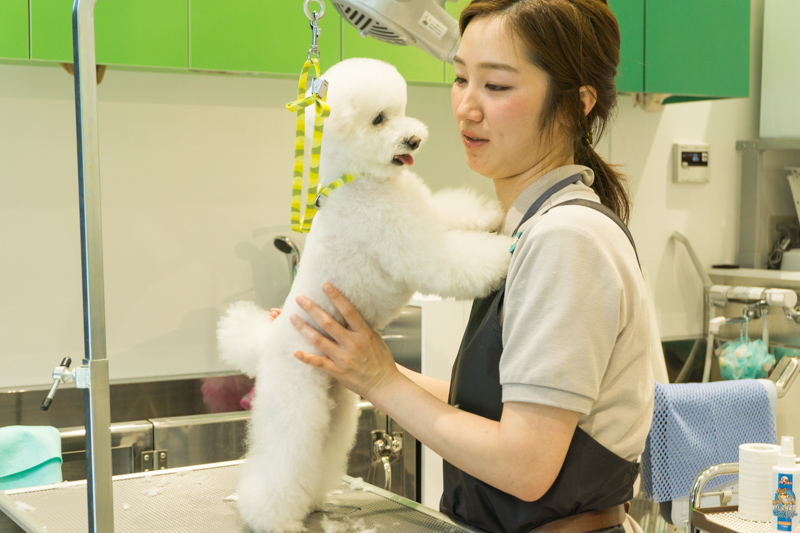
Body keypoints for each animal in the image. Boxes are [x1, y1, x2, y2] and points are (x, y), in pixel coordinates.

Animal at [217, 57, 512, 533]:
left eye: (401, 110)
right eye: (378, 120)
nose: (413, 138)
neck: (361, 178)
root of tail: (267, 345)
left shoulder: (423, 213)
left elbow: (449, 209)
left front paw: (486, 212)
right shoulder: (415, 245)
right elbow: (448, 258)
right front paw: (505, 252)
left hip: (337, 411)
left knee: (320, 460)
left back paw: (312, 502)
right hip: (295, 405)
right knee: (279, 465)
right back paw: (272, 517)